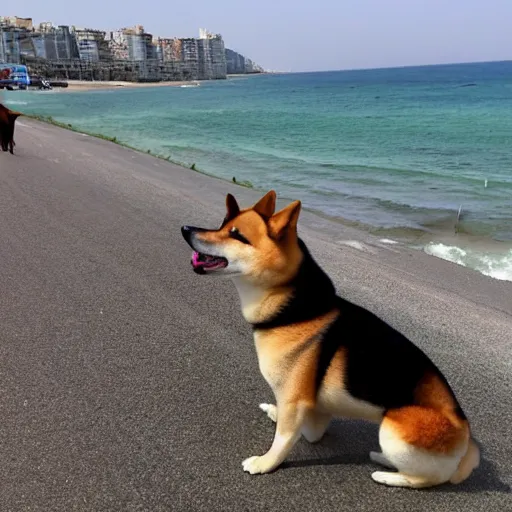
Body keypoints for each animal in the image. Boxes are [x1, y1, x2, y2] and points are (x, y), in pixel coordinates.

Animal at [181, 190, 480, 486]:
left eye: (237, 234)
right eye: (222, 224)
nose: (185, 229)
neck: (295, 309)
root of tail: (467, 443)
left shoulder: (294, 401)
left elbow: (283, 439)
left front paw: (265, 463)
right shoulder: (311, 409)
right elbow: (306, 429)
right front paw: (274, 412)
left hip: (392, 432)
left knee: (429, 478)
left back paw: (386, 473)